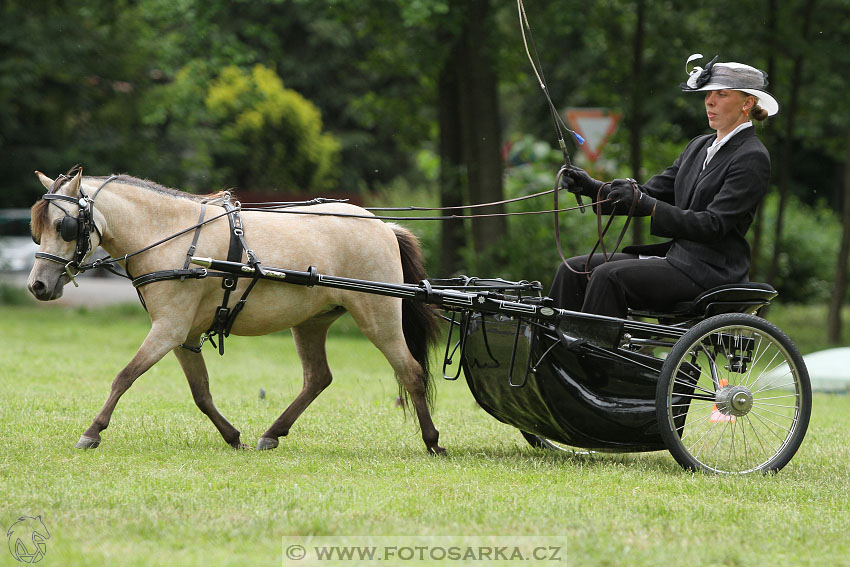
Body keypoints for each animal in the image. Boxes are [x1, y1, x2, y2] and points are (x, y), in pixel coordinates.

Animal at [27, 168, 444, 452]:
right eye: (36, 229)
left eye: (64, 226)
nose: (37, 285)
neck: (171, 237)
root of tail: (384, 226)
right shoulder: (184, 335)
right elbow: (201, 392)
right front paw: (232, 436)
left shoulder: (168, 329)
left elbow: (124, 376)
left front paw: (92, 431)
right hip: (311, 322)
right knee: (318, 378)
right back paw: (272, 433)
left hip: (379, 316)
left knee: (410, 372)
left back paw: (432, 440)